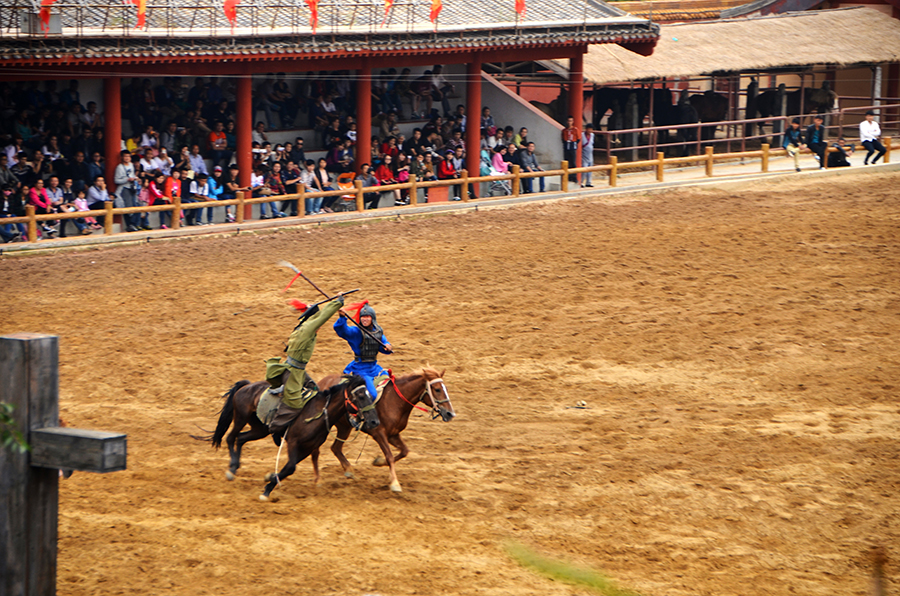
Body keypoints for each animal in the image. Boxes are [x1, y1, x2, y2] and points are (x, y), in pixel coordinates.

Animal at [318, 368, 458, 494]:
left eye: (445, 388)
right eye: (437, 389)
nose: (450, 414)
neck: (395, 401)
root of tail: (322, 382)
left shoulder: (393, 434)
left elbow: (404, 451)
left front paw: (379, 462)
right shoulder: (379, 434)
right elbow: (390, 456)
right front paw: (395, 483)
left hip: (344, 427)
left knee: (335, 448)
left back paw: (348, 469)